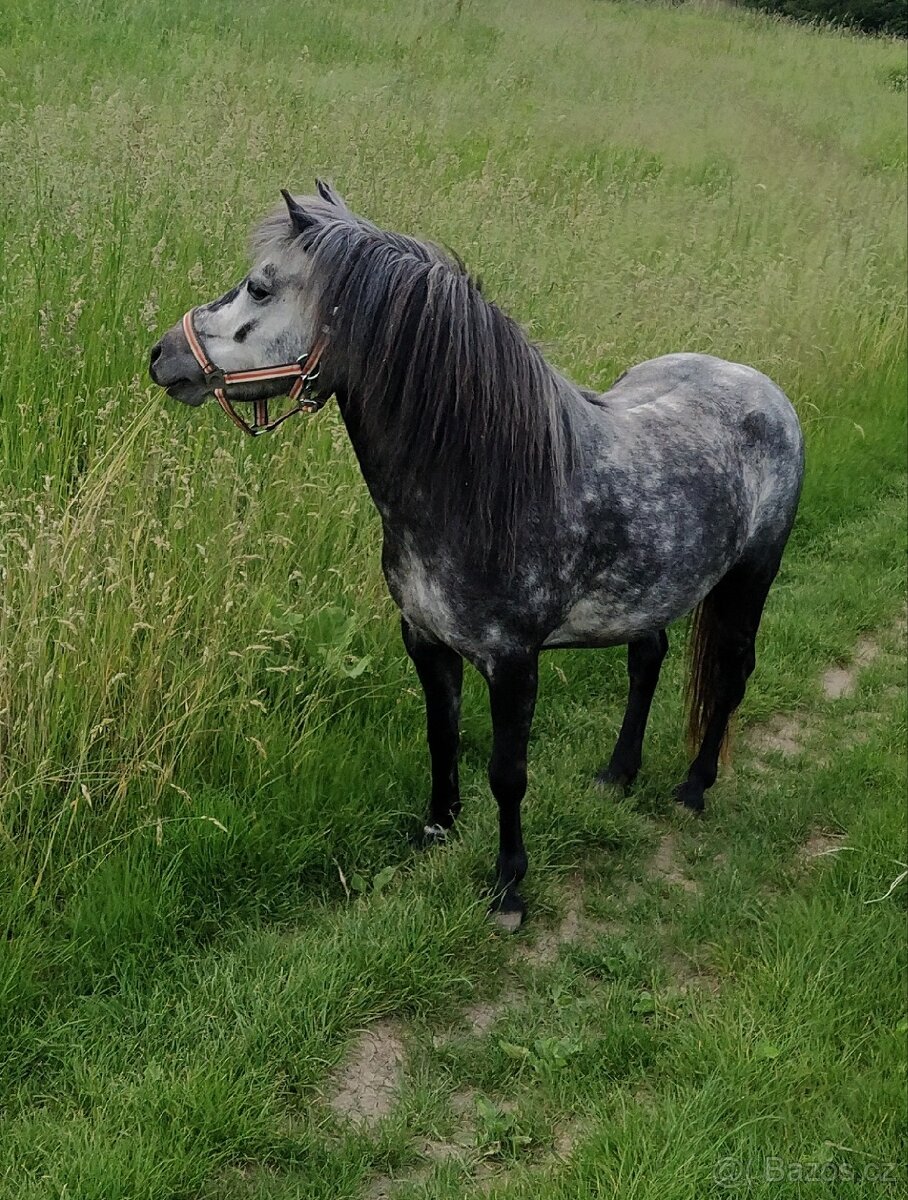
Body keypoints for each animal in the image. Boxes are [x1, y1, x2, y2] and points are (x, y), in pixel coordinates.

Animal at [149, 182, 804, 928]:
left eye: (260, 286)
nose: (162, 355)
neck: (480, 487)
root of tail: (762, 387)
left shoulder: (513, 663)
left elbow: (507, 773)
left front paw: (508, 887)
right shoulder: (425, 640)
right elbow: (443, 736)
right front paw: (438, 829)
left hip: (751, 578)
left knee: (731, 673)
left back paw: (694, 788)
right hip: (653, 593)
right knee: (648, 661)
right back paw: (617, 775)